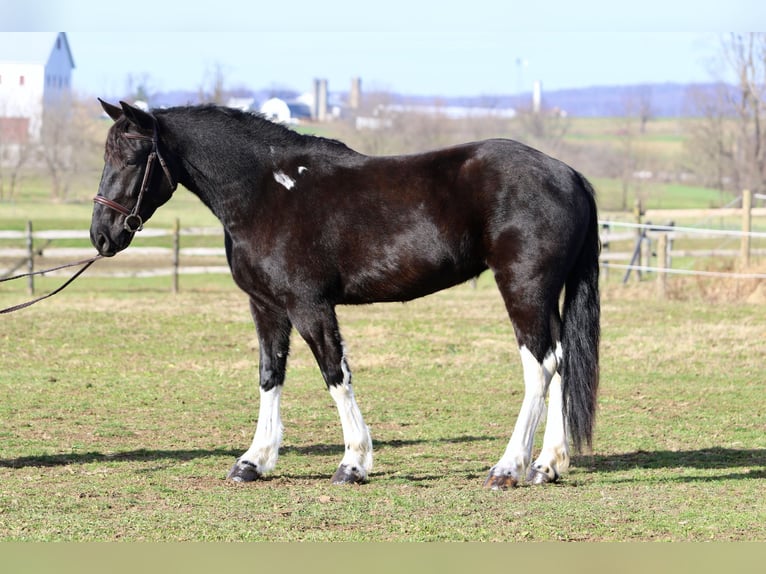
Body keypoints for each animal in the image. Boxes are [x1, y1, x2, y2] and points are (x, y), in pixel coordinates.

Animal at [90, 99, 600, 489]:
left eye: (131, 159)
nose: (102, 235)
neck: (266, 192)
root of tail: (569, 174)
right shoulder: (267, 307)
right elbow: (270, 376)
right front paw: (253, 461)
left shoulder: (309, 305)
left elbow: (335, 374)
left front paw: (353, 463)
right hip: (543, 296)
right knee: (559, 361)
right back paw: (546, 466)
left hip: (523, 288)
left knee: (540, 366)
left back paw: (508, 468)